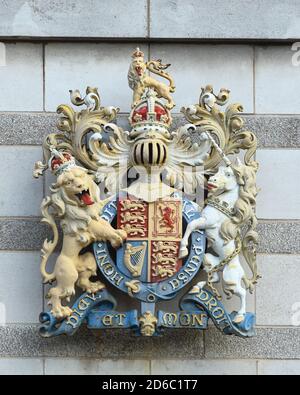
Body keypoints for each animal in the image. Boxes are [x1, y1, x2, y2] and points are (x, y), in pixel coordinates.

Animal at [39, 153, 126, 320]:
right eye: (68, 182)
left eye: (80, 176)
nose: (80, 186)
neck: (84, 207)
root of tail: (55, 269)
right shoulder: (89, 224)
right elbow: (104, 230)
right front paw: (117, 237)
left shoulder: (97, 216)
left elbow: (106, 226)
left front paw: (119, 233)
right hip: (68, 275)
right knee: (55, 291)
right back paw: (60, 312)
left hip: (88, 261)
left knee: (82, 281)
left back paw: (94, 286)